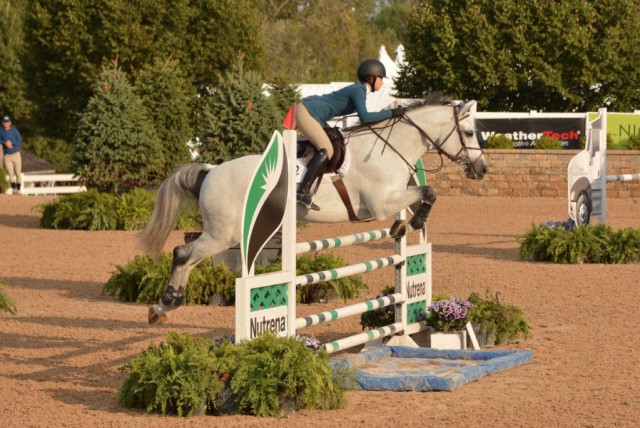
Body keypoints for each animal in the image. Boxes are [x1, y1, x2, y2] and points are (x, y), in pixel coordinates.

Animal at [141, 93, 490, 320]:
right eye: (469, 132)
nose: (482, 170)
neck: (391, 146)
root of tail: (211, 170)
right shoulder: (380, 202)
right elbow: (429, 191)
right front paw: (413, 222)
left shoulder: (395, 194)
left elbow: (425, 195)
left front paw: (406, 224)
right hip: (222, 234)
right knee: (183, 253)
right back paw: (163, 305)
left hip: (224, 233)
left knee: (189, 259)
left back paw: (168, 304)